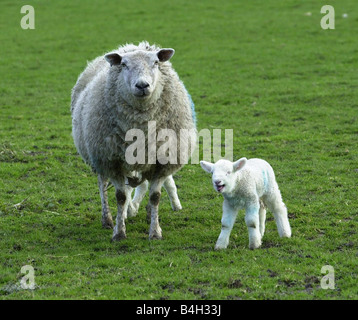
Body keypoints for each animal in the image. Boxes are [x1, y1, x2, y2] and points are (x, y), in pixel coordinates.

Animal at [71, 41, 197, 241]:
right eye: (124, 65)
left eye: (155, 62)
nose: (142, 85)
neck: (141, 124)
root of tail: (130, 46)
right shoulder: (112, 162)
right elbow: (121, 197)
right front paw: (119, 232)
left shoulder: (161, 163)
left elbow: (155, 197)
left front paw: (155, 232)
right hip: (99, 156)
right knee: (102, 185)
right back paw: (108, 219)